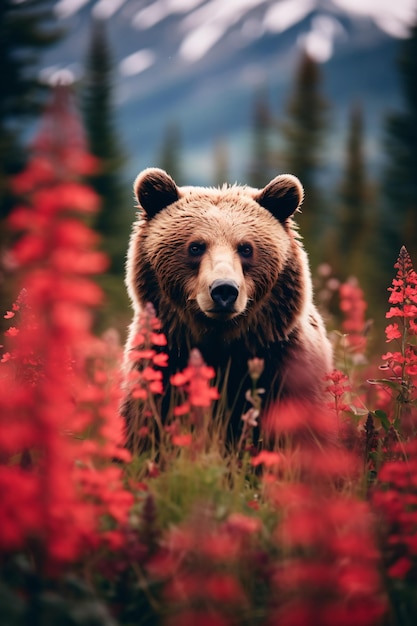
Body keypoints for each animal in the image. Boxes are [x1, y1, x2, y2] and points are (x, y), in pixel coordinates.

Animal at [122, 168, 334, 446]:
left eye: (245, 248)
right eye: (196, 246)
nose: (224, 290)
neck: (222, 344)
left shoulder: (285, 366)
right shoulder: (162, 363)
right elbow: (146, 429)